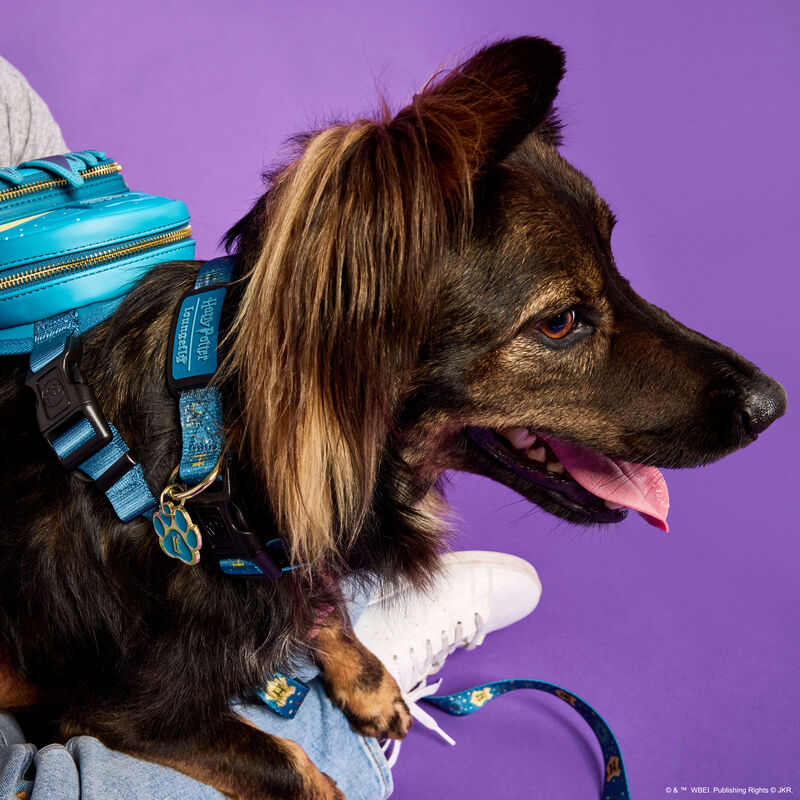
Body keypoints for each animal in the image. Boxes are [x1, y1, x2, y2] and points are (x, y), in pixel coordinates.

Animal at [0, 36, 788, 792]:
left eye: (617, 269)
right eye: (560, 322)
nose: (774, 405)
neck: (212, 457)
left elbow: (323, 599)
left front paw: (369, 679)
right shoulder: (123, 709)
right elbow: (296, 768)